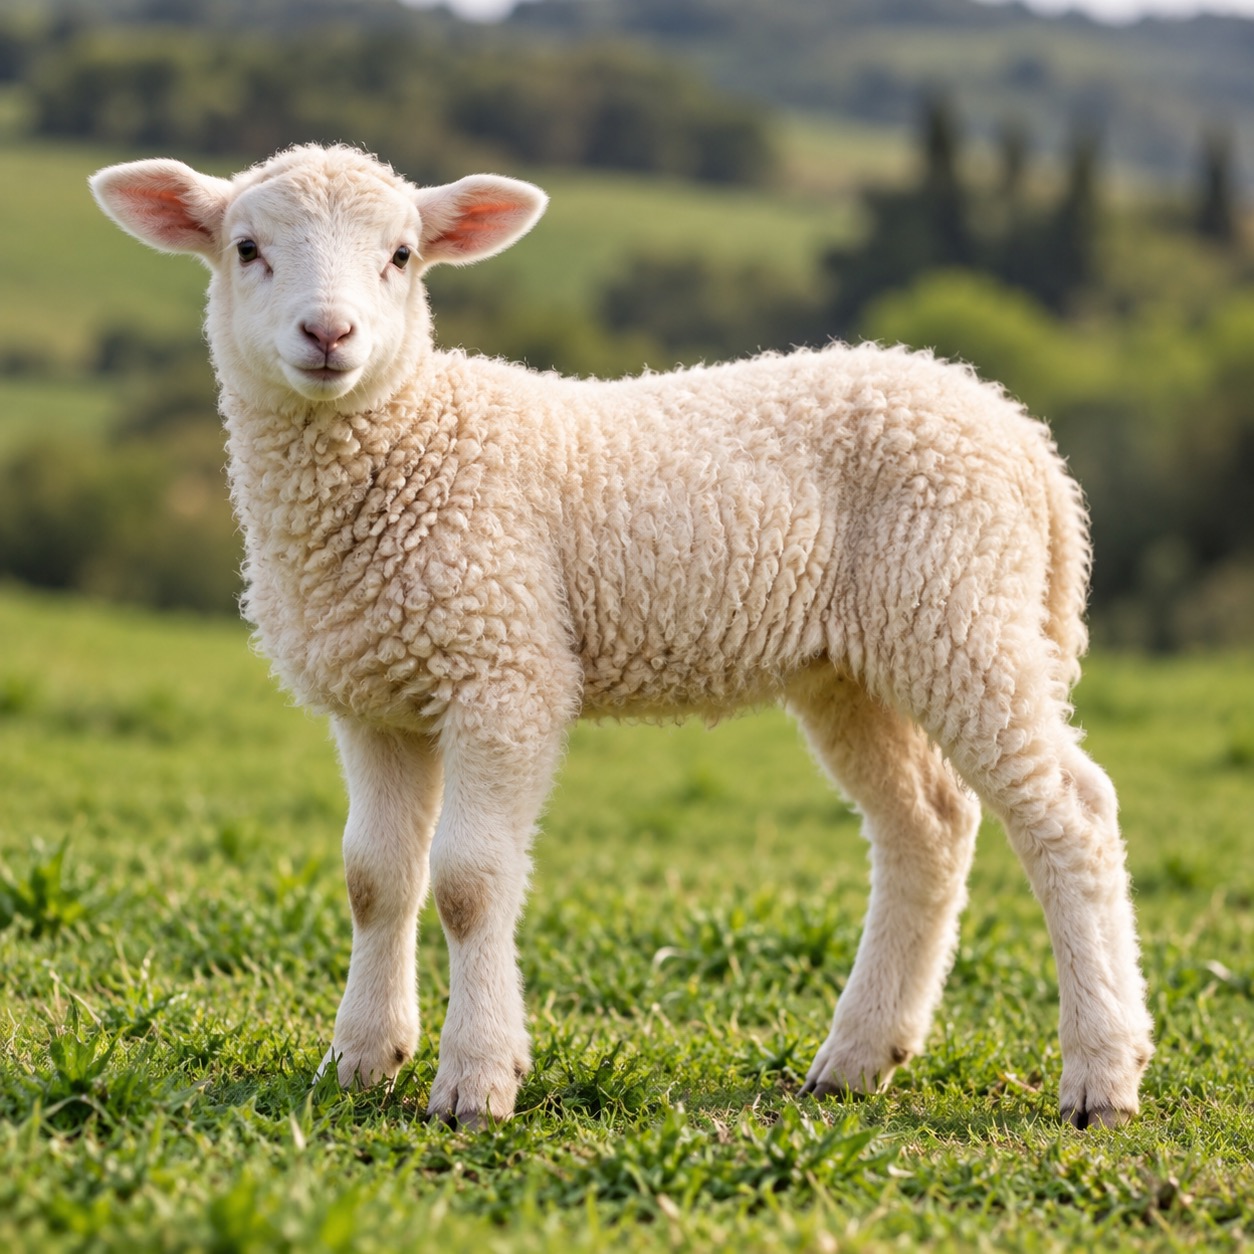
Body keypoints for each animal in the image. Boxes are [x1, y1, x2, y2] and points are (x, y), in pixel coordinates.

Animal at [90, 143, 1153, 1130]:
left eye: (401, 255)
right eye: (246, 248)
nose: (328, 334)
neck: (413, 439)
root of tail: (1016, 431)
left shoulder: (504, 665)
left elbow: (468, 883)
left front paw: (475, 1080)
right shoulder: (375, 695)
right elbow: (374, 879)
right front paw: (361, 1057)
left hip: (961, 610)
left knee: (1070, 811)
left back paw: (1102, 1071)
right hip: (854, 664)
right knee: (927, 823)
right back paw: (857, 1057)